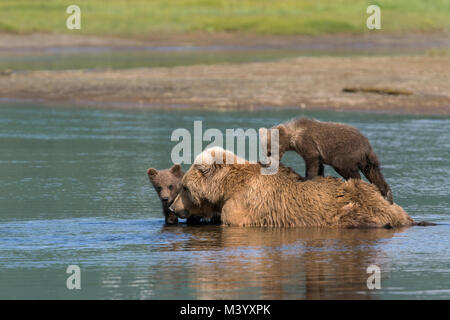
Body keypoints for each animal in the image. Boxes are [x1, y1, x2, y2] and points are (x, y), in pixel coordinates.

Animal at [262, 117, 392, 202]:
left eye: (269, 152)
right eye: (264, 151)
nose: (266, 164)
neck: (293, 135)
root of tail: (366, 145)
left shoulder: (307, 142)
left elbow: (312, 159)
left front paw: (304, 178)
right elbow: (319, 164)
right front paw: (320, 176)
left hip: (346, 151)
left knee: (345, 167)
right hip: (366, 158)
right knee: (373, 171)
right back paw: (387, 194)